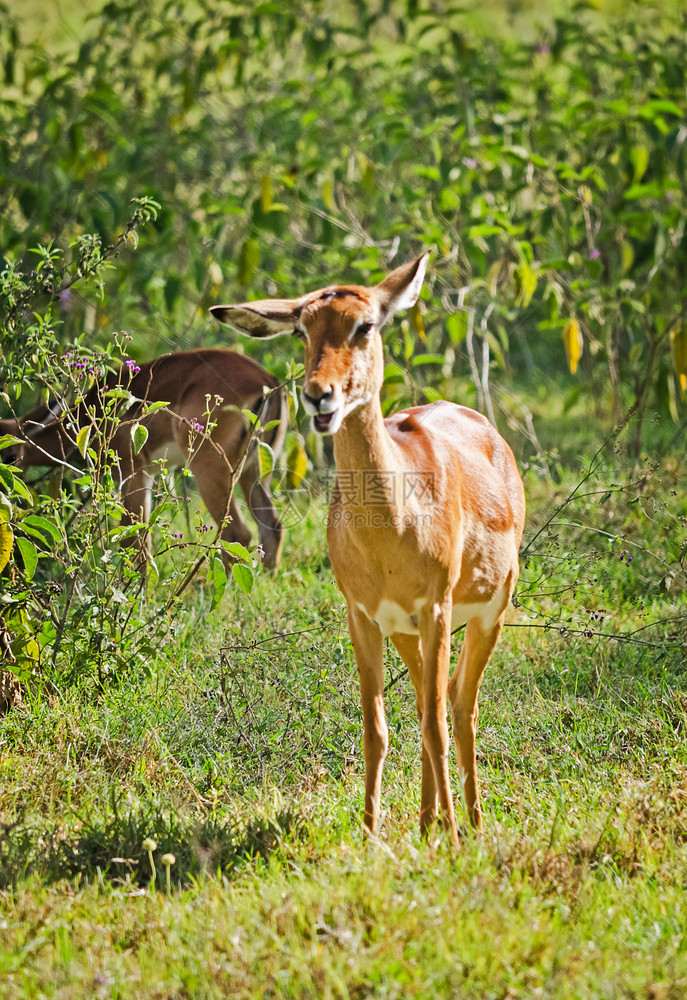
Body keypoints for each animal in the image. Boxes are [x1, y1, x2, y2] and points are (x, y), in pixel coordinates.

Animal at [0, 352, 284, 572]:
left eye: (11, 455)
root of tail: (268, 382)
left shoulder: (133, 473)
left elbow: (134, 539)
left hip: (211, 471)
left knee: (237, 534)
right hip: (254, 473)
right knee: (272, 527)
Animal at [212, 256, 528, 844]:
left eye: (365, 325)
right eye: (302, 329)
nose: (319, 394)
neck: (391, 531)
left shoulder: (436, 608)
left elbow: (435, 724)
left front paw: (453, 839)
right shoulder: (363, 615)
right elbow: (376, 728)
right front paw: (371, 833)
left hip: (486, 614)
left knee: (459, 707)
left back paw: (470, 824)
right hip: (407, 632)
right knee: (435, 701)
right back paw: (427, 824)